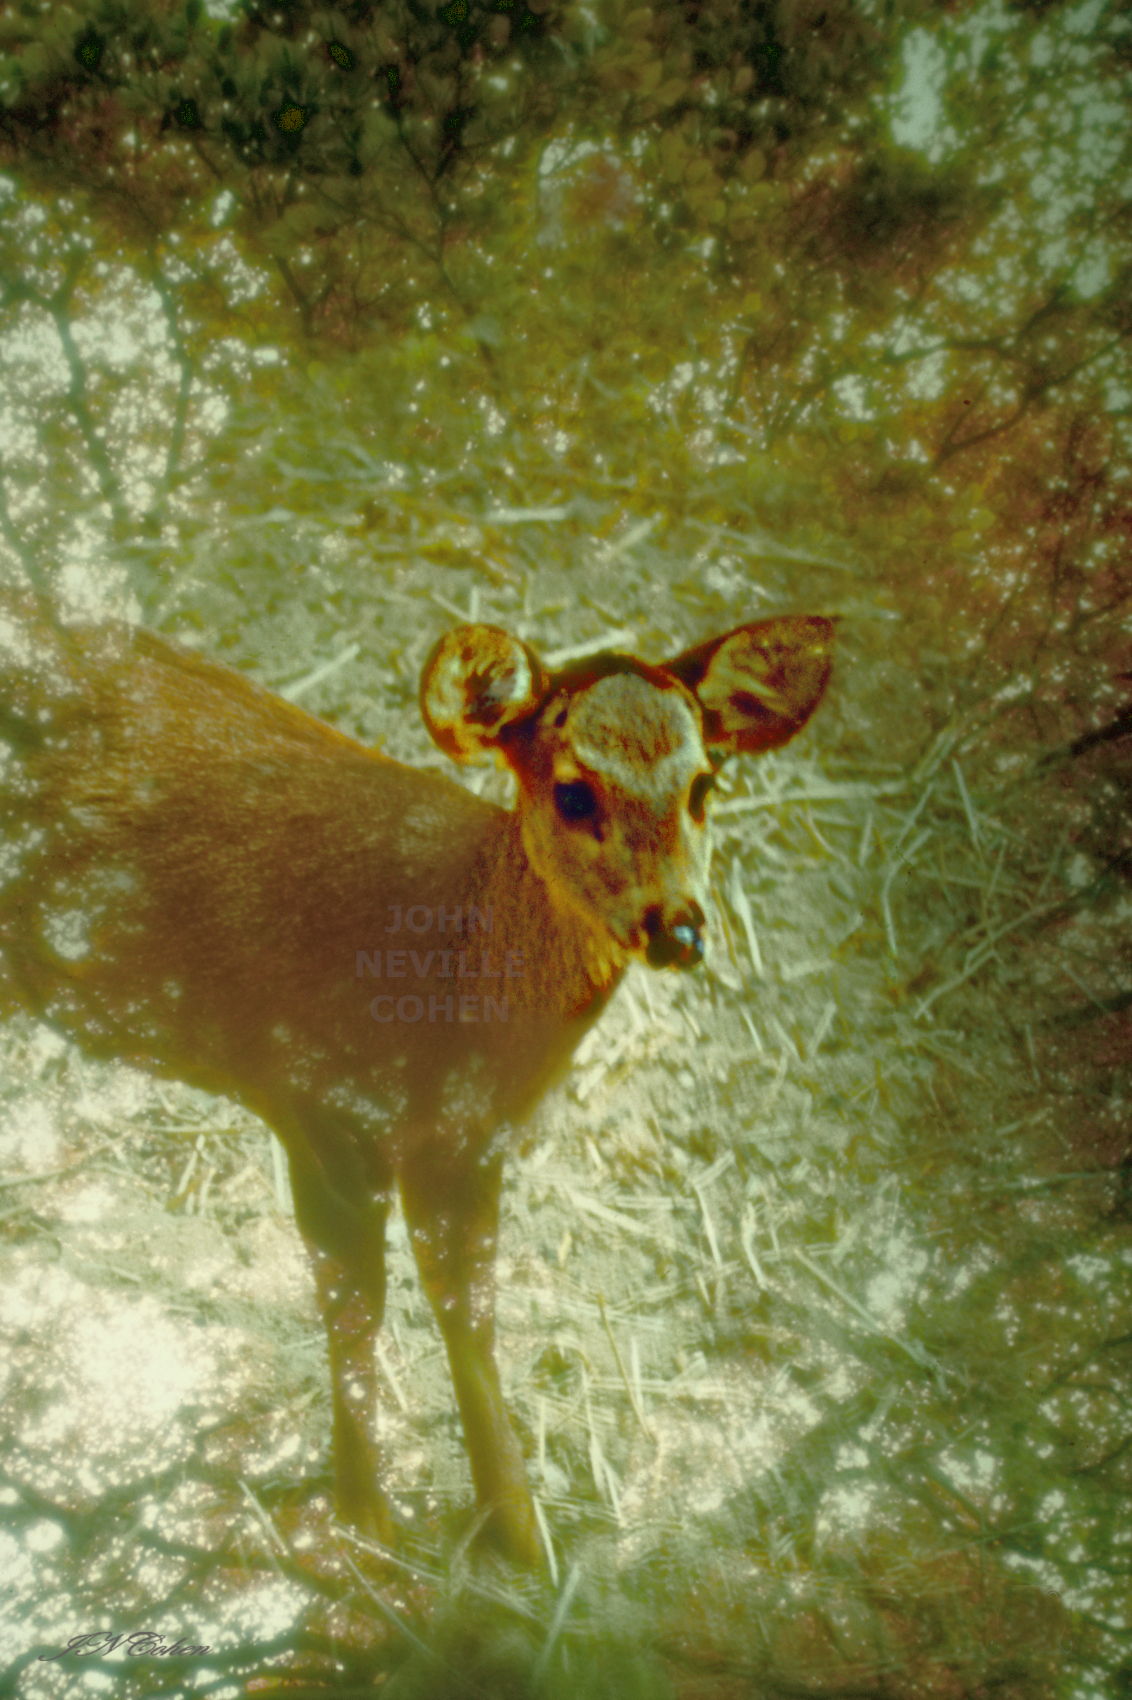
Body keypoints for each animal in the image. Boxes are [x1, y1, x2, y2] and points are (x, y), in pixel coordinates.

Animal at [0, 596, 833, 1565]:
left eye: (703, 786)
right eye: (573, 790)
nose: (679, 929)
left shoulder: (470, 1144)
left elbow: (469, 1308)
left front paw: (520, 1537)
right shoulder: (314, 1098)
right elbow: (357, 1305)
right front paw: (366, 1521)